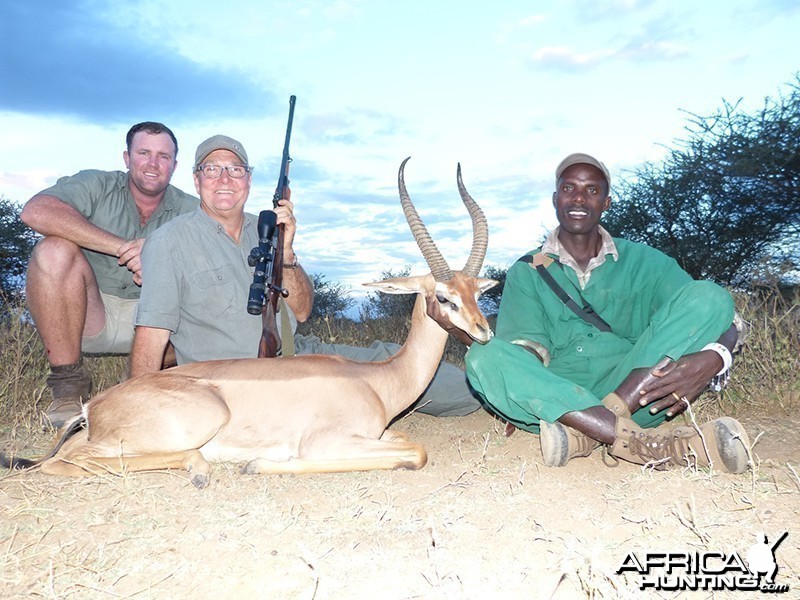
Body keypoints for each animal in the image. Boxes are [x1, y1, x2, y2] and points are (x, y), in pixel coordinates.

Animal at [3, 159, 496, 488]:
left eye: (476, 292)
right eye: (444, 297)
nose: (484, 333)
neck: (376, 381)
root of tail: (94, 407)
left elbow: (406, 437)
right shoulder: (325, 441)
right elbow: (416, 450)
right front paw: (261, 464)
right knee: (64, 462)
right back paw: (202, 467)